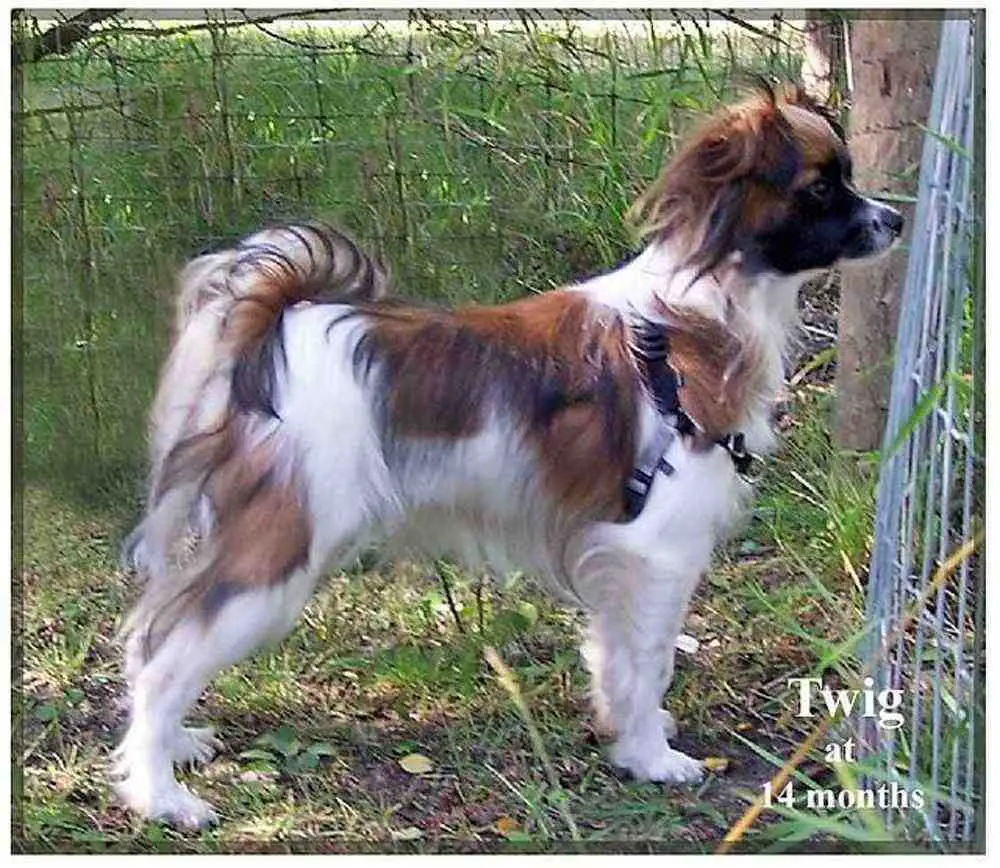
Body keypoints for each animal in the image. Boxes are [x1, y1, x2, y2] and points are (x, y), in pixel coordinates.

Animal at [111, 86, 908, 828]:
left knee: (159, 636)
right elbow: (650, 662)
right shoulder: (657, 552)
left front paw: (626, 737)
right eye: (820, 188)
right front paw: (653, 758)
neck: (694, 316)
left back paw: (177, 744)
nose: (896, 221)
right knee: (164, 655)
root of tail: (276, 324)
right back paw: (159, 792)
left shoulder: (615, 554)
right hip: (281, 549)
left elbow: (616, 660)